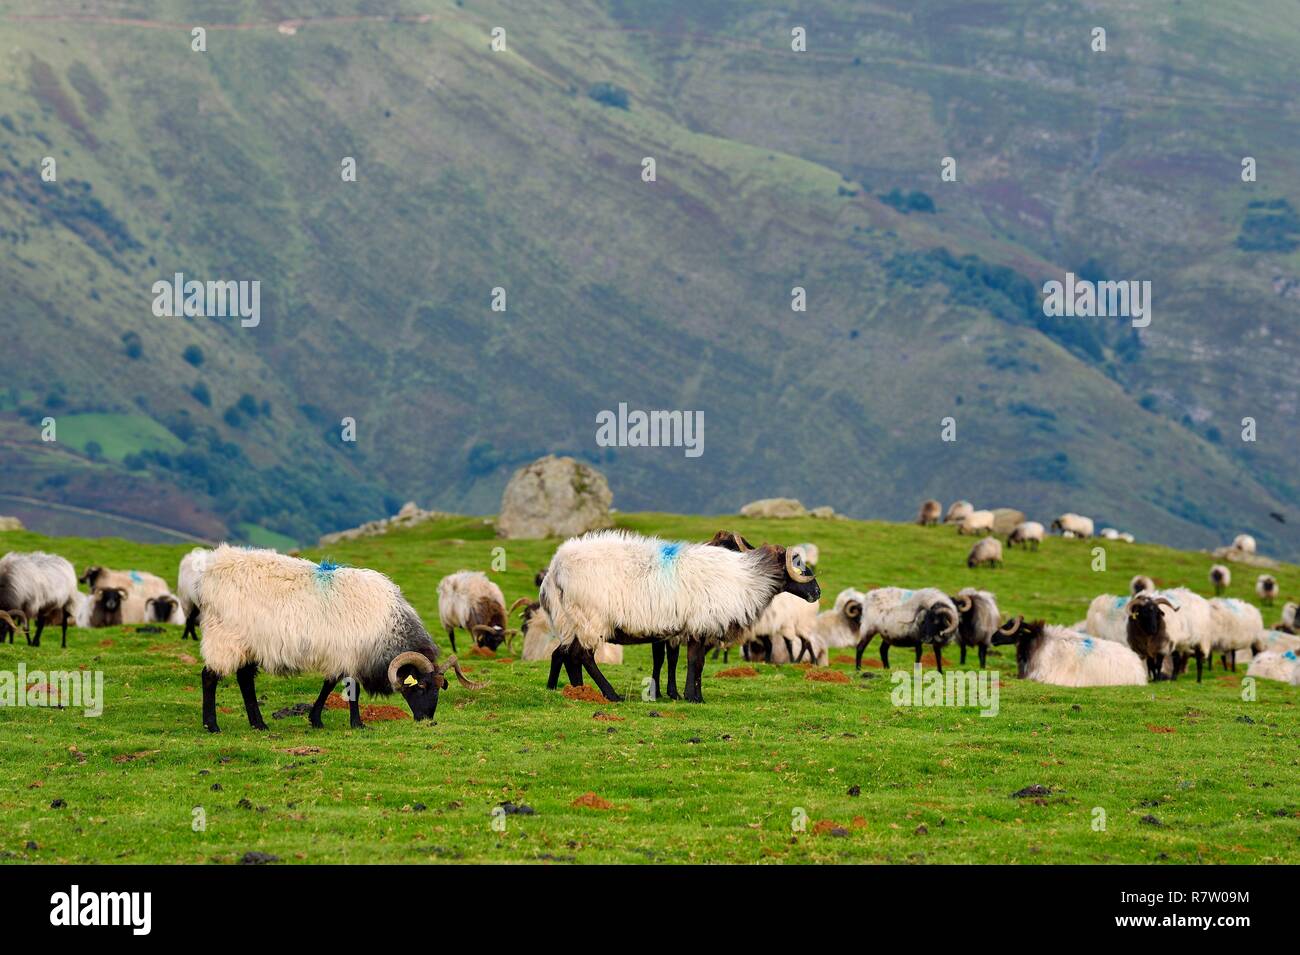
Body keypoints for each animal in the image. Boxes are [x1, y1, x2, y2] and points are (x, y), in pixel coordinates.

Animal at [196, 546, 482, 732]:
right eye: (420, 686)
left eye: (439, 688)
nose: (427, 720)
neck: (388, 629)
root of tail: (212, 569)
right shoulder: (351, 652)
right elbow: (350, 689)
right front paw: (357, 724)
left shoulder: (343, 654)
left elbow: (329, 683)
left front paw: (316, 719)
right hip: (225, 638)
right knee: (209, 676)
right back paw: (212, 725)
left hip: (250, 644)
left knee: (244, 680)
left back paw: (259, 724)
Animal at [540, 530, 820, 703]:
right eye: (797, 563)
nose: (817, 591)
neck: (747, 578)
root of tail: (555, 568)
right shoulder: (700, 624)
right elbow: (694, 662)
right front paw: (692, 697)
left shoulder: (696, 628)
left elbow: (695, 663)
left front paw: (694, 695)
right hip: (591, 618)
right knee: (583, 656)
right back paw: (610, 694)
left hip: (572, 621)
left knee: (568, 656)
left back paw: (578, 691)